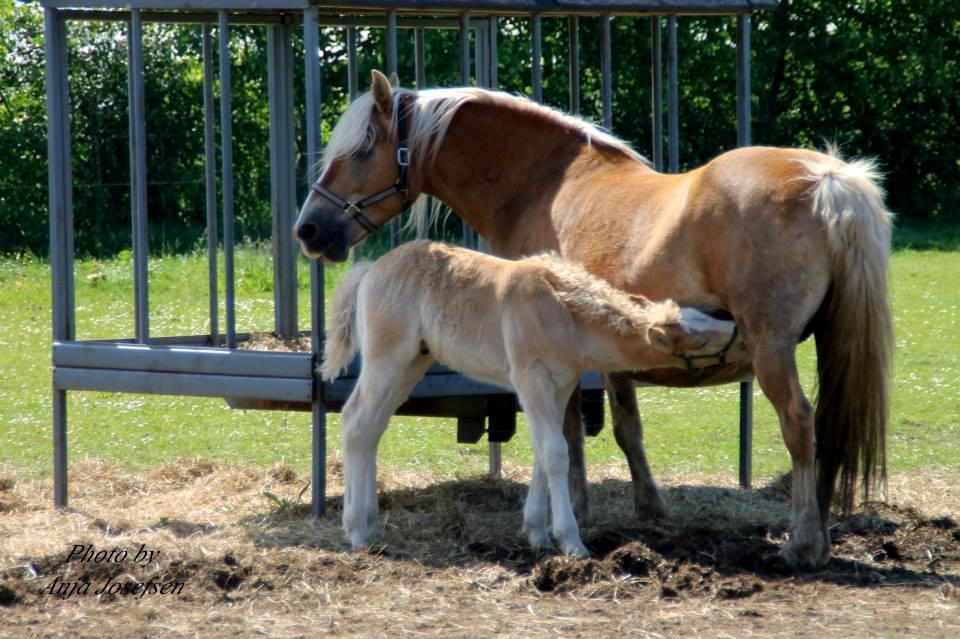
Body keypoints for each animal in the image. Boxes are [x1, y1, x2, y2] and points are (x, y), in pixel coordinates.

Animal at [326, 240, 748, 556]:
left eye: (709, 319)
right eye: (700, 340)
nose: (743, 334)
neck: (564, 313)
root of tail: (369, 270)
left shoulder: (560, 385)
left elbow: (545, 452)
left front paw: (537, 533)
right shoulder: (531, 380)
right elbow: (557, 452)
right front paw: (571, 542)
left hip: (413, 362)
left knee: (372, 426)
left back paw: (372, 526)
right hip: (387, 358)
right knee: (357, 421)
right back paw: (357, 532)